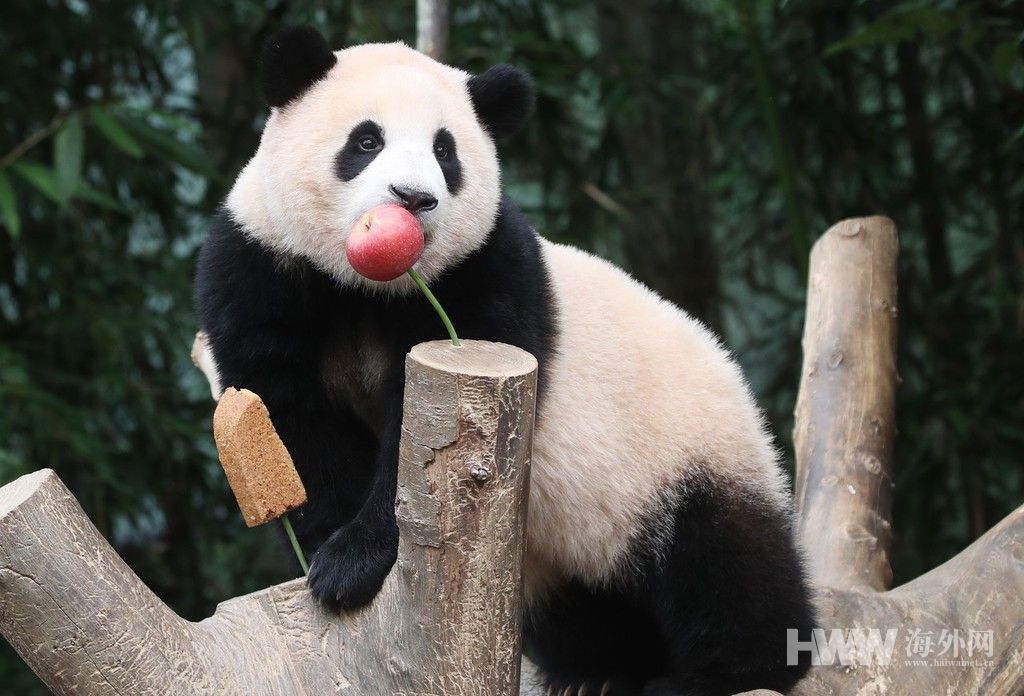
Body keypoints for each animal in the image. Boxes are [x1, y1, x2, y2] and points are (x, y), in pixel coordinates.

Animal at [192, 25, 815, 696]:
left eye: (446, 152)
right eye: (366, 140)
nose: (414, 198)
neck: (369, 288)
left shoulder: (485, 276)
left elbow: (422, 450)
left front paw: (351, 562)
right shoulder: (264, 265)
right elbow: (291, 419)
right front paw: (332, 556)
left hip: (681, 452)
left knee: (724, 560)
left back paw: (719, 670)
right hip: (558, 554)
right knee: (584, 610)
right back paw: (596, 671)